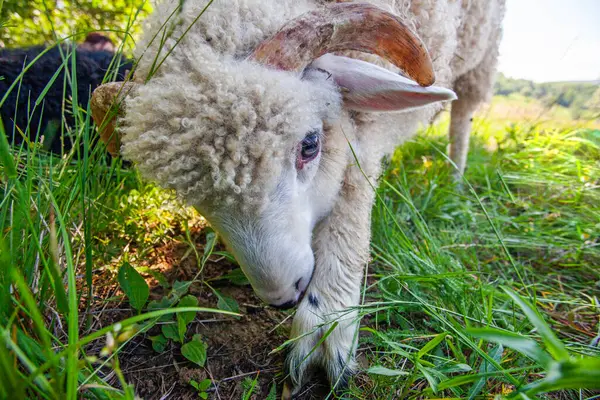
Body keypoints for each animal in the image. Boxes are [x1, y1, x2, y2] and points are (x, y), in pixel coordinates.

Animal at [91, 0, 506, 394]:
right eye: (192, 198)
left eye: (310, 144)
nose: (283, 297)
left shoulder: (365, 135)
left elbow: (352, 196)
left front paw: (327, 323)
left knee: (462, 118)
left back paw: (455, 178)